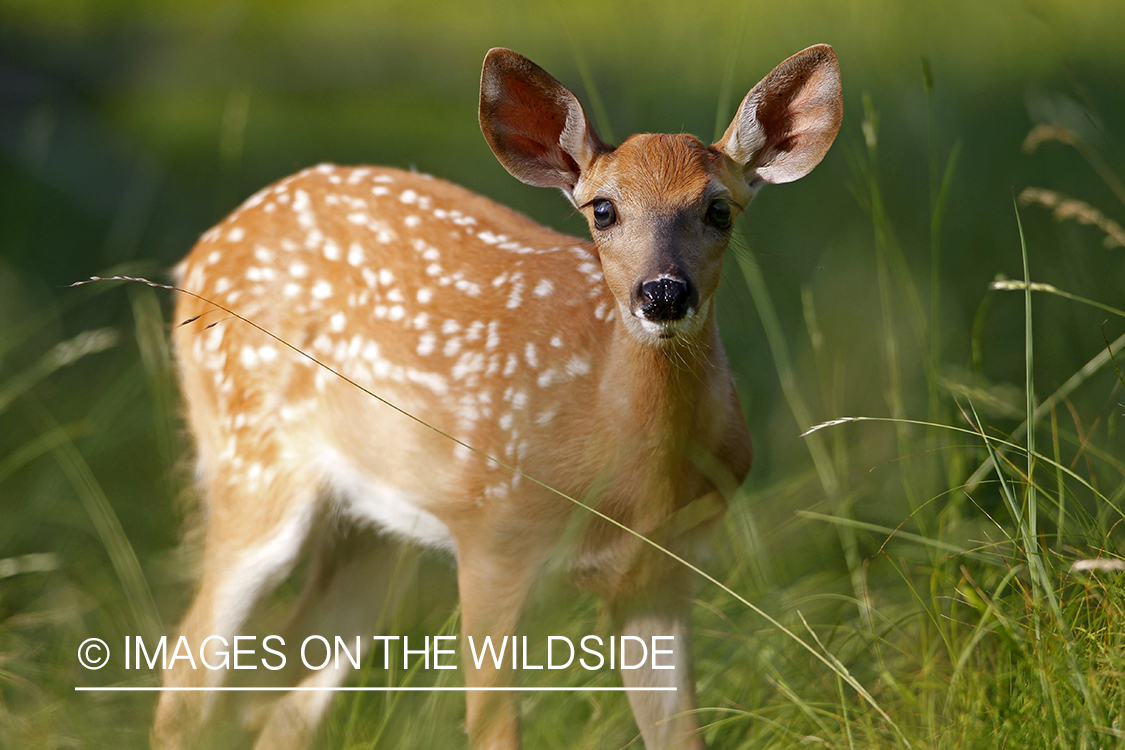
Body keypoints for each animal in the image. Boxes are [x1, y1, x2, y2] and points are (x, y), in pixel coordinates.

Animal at [153, 44, 842, 749]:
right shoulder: (493, 536)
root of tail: (201, 250)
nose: (663, 293)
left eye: (719, 210)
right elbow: (493, 728)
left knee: (283, 699)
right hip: (251, 466)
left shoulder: (662, 568)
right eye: (602, 210)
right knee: (186, 680)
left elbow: (680, 735)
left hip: (374, 532)